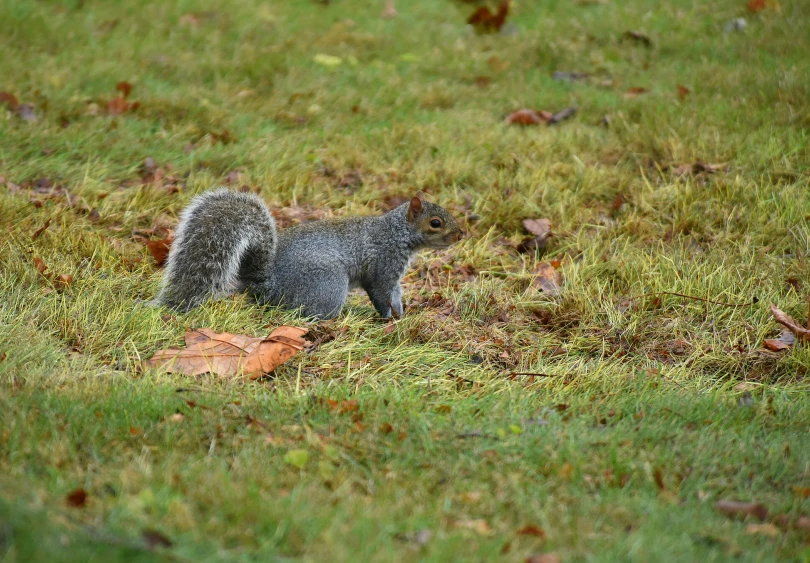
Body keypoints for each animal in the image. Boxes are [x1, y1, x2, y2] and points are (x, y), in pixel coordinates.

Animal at [151, 189, 460, 320]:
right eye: (435, 223)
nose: (461, 235)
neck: (397, 233)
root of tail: (267, 284)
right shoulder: (383, 266)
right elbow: (381, 294)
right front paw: (388, 319)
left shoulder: (394, 275)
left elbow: (395, 295)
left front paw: (401, 315)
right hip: (328, 284)